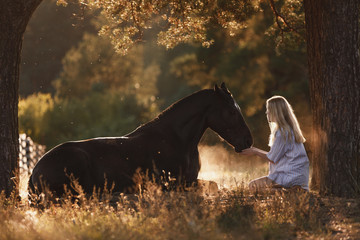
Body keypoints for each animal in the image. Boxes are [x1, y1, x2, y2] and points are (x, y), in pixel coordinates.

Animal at [28, 83, 253, 196]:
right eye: (232, 111)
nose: (248, 141)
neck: (176, 139)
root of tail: (35, 172)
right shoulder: (175, 184)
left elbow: (214, 185)